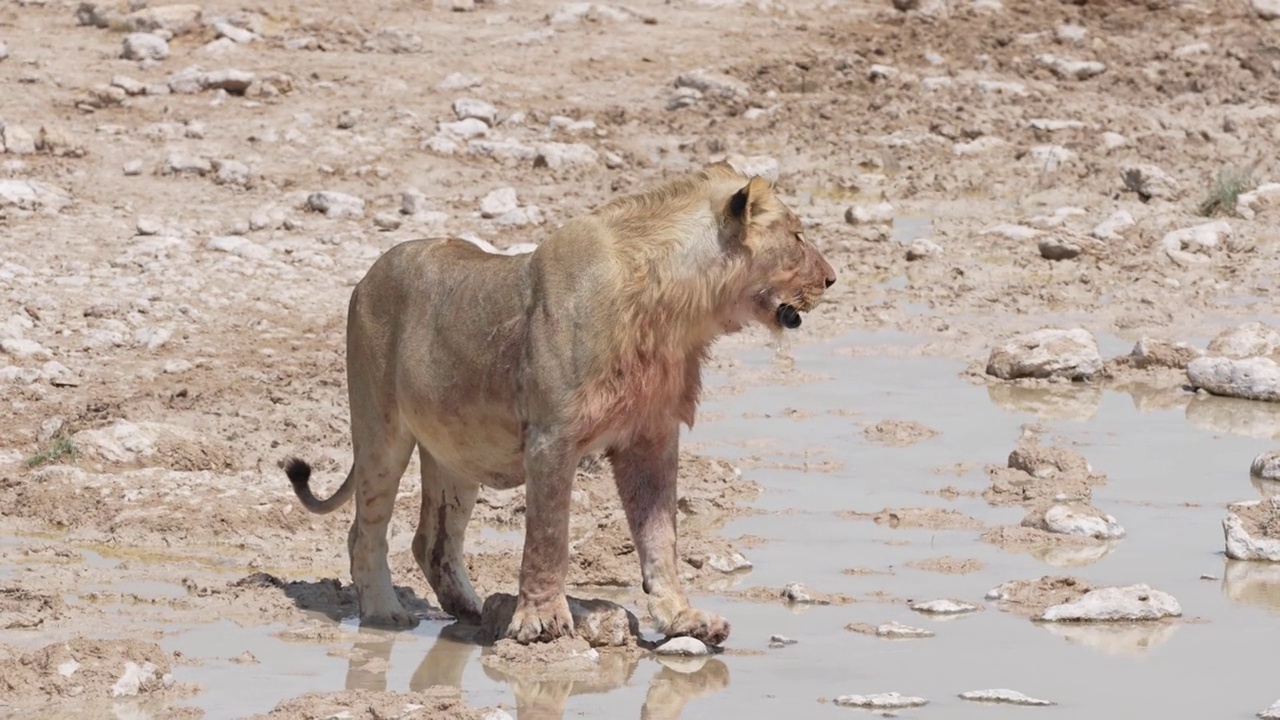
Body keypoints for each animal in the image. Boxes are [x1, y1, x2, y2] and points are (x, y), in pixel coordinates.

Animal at [284, 162, 834, 645]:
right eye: (798, 236)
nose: (831, 279)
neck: (675, 308)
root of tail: (365, 277)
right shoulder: (552, 437)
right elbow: (548, 536)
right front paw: (541, 621)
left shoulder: (652, 435)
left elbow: (661, 536)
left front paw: (684, 619)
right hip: (380, 431)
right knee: (365, 531)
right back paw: (386, 614)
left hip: (454, 450)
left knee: (433, 541)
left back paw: (472, 611)